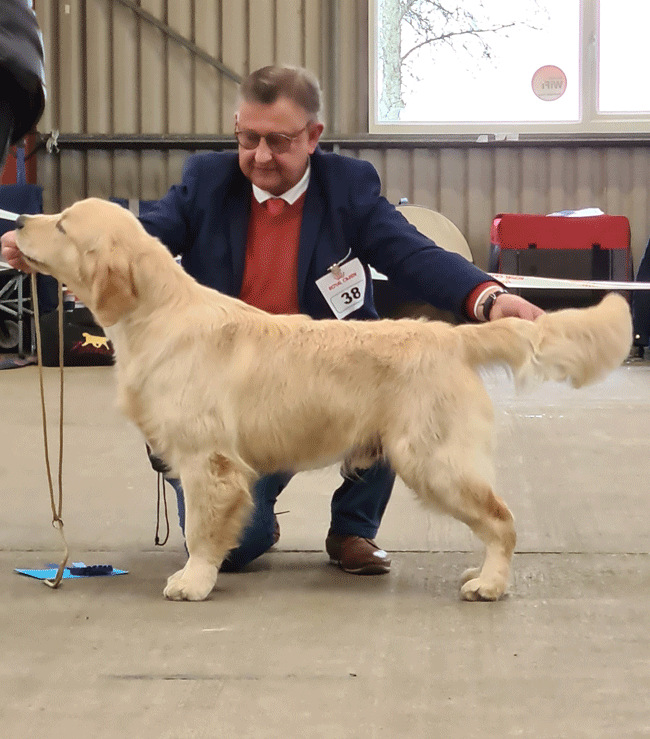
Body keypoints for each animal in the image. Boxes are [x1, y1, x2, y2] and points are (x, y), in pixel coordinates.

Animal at [13, 198, 632, 600]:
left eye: (63, 224)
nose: (17, 220)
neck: (157, 313)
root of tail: (451, 335)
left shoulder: (208, 460)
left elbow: (201, 531)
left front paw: (194, 581)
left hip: (434, 459)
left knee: (502, 520)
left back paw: (490, 584)